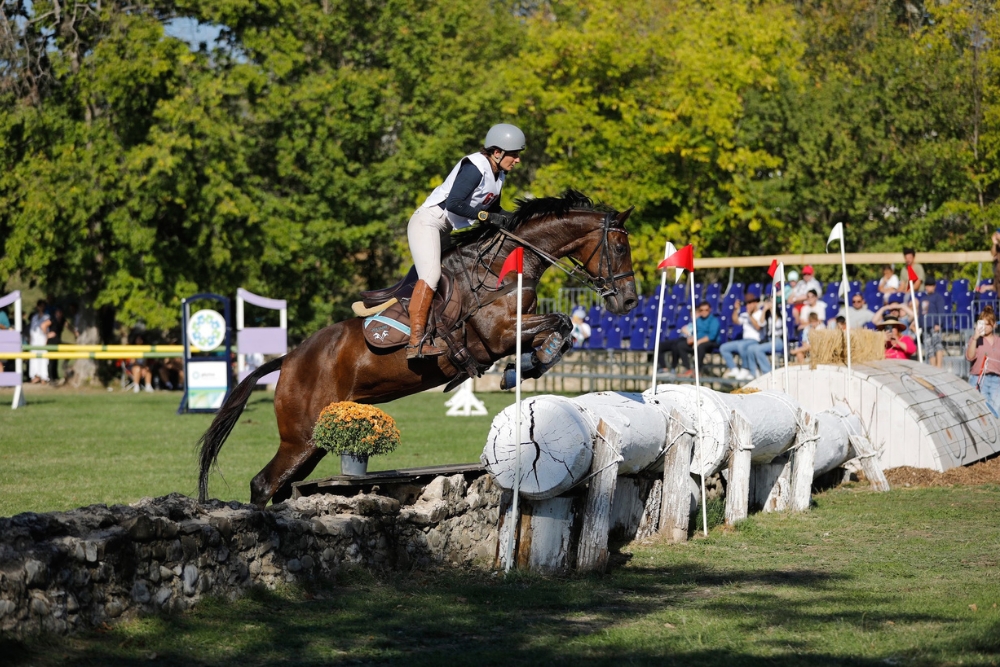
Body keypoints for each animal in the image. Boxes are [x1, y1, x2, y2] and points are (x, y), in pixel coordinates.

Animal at [198, 189, 636, 506]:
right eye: (618, 248)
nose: (628, 302)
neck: (502, 267)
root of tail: (289, 359)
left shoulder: (513, 331)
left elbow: (559, 330)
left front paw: (527, 365)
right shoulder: (495, 335)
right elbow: (560, 322)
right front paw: (530, 363)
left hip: (314, 443)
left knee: (278, 486)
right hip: (301, 438)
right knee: (263, 483)